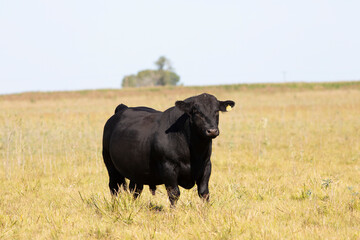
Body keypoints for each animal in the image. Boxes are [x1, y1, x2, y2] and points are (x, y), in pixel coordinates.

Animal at [102, 94, 235, 206]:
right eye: (196, 111)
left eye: (216, 111)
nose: (212, 131)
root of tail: (123, 109)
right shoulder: (168, 167)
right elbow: (174, 193)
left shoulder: (206, 165)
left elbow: (204, 192)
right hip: (110, 164)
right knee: (114, 187)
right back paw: (115, 205)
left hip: (136, 169)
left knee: (135, 189)